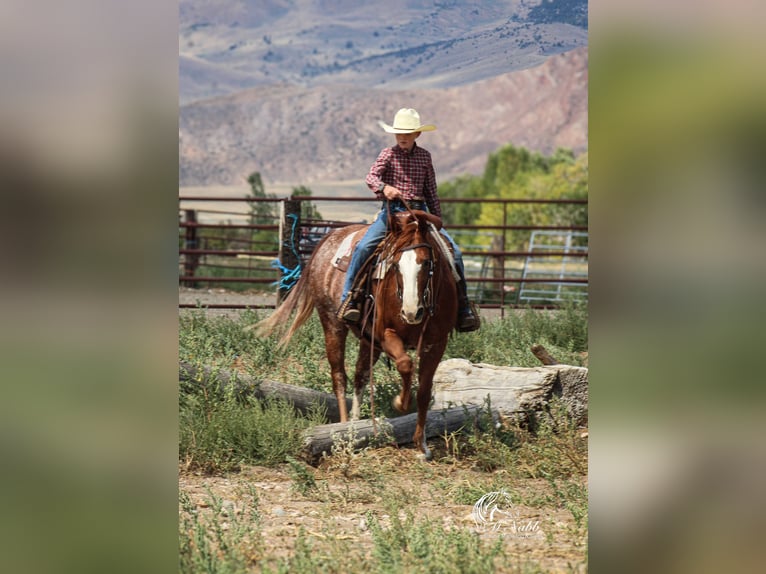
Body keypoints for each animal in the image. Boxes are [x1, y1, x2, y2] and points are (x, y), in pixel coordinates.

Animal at [255, 209, 458, 459]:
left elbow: (423, 391)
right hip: (332, 325)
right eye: (395, 265)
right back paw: (341, 427)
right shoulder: (385, 334)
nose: (411, 312)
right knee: (339, 376)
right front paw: (400, 403)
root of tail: (329, 238)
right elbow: (405, 365)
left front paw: (422, 445)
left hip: (367, 340)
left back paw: (354, 423)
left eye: (427, 262)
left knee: (360, 375)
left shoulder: (436, 343)